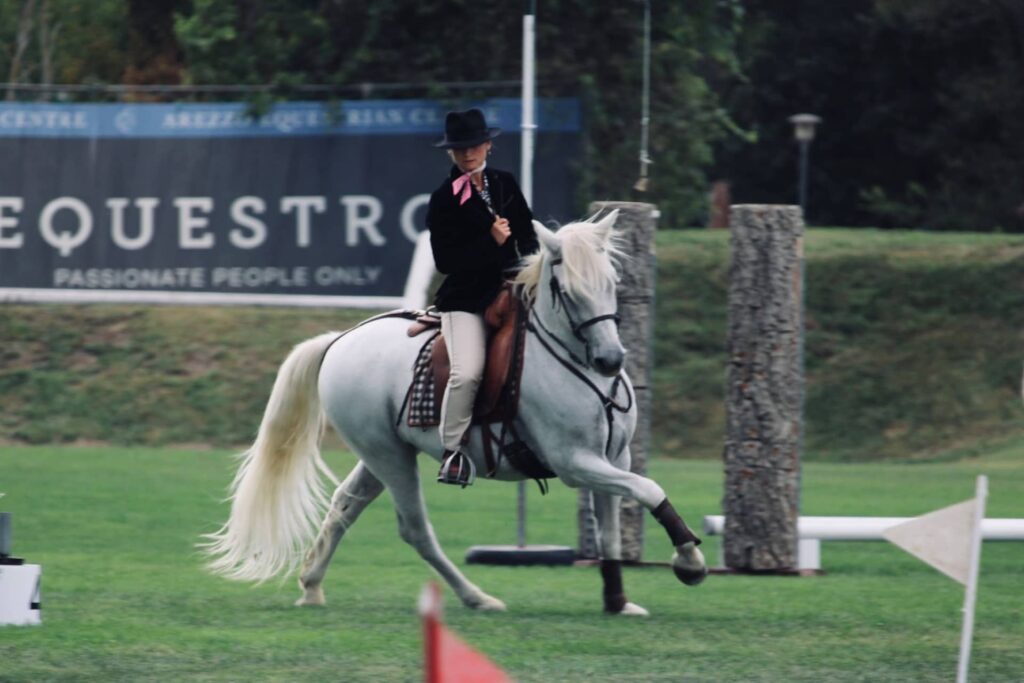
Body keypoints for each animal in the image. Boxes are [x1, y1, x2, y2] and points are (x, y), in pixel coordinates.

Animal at [203, 210, 708, 618]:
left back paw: (311, 587)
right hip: (391, 458)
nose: (610, 360)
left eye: (613, 282)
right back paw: (476, 598)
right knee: (415, 529)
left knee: (345, 505)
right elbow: (649, 489)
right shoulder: (575, 463)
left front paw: (617, 600)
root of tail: (340, 340)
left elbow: (612, 532)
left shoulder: (613, 460)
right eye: (565, 291)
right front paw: (689, 561)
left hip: (381, 453)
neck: (576, 364)